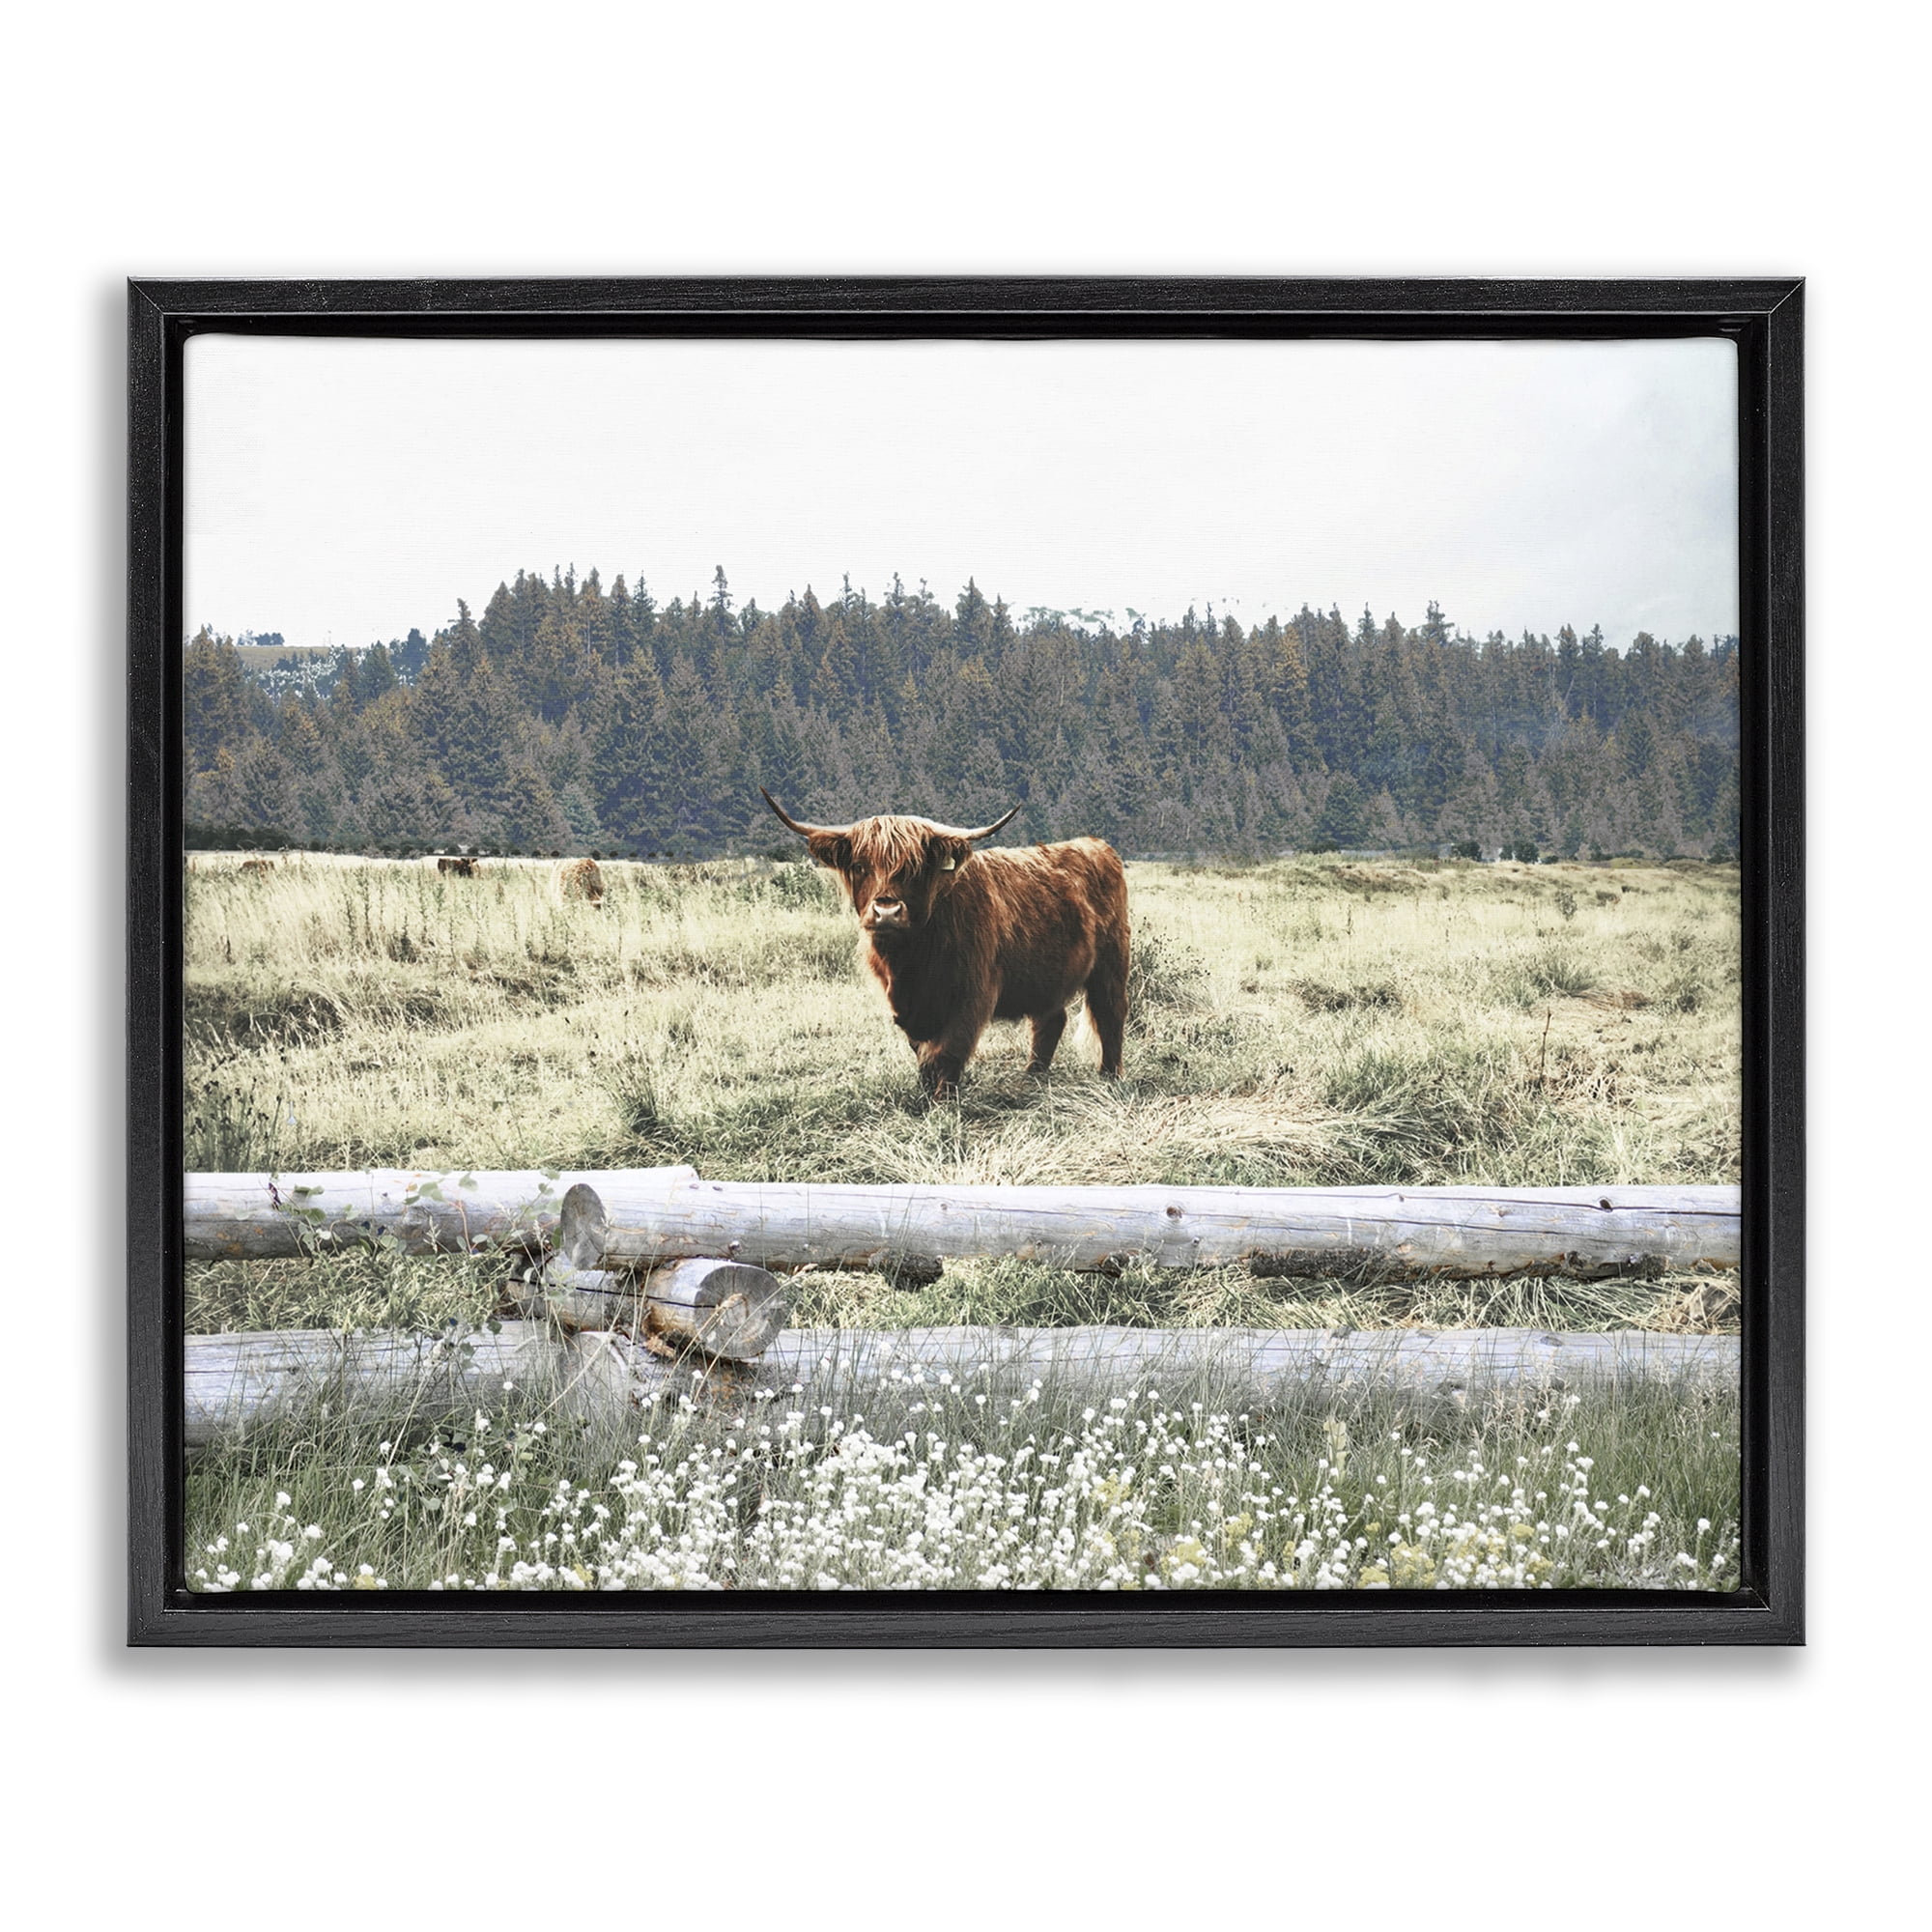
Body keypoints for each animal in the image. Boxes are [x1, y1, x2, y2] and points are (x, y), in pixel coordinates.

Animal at [760, 788, 1129, 1099]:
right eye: (860, 865)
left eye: (914, 868)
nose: (887, 912)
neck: (912, 961)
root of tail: (1096, 845)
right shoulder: (906, 1005)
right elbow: (922, 1052)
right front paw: (925, 1094)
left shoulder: (972, 994)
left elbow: (948, 1050)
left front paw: (943, 1101)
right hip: (1046, 973)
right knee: (1050, 1020)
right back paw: (1032, 1077)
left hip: (1111, 962)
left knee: (1110, 1013)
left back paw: (1109, 1077)